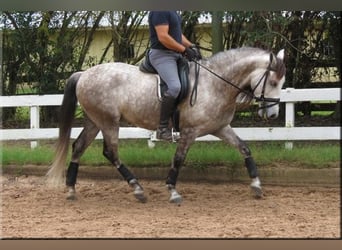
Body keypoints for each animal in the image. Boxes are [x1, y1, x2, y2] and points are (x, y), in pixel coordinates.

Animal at [45, 46, 286, 203]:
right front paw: (173, 191)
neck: (215, 83)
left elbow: (244, 147)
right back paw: (137, 189)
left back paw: (71, 189)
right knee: (111, 152)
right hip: (108, 121)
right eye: (273, 82)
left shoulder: (220, 128)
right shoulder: (189, 132)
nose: (273, 114)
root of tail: (83, 74)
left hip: (94, 121)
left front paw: (256, 185)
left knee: (78, 147)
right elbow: (178, 159)